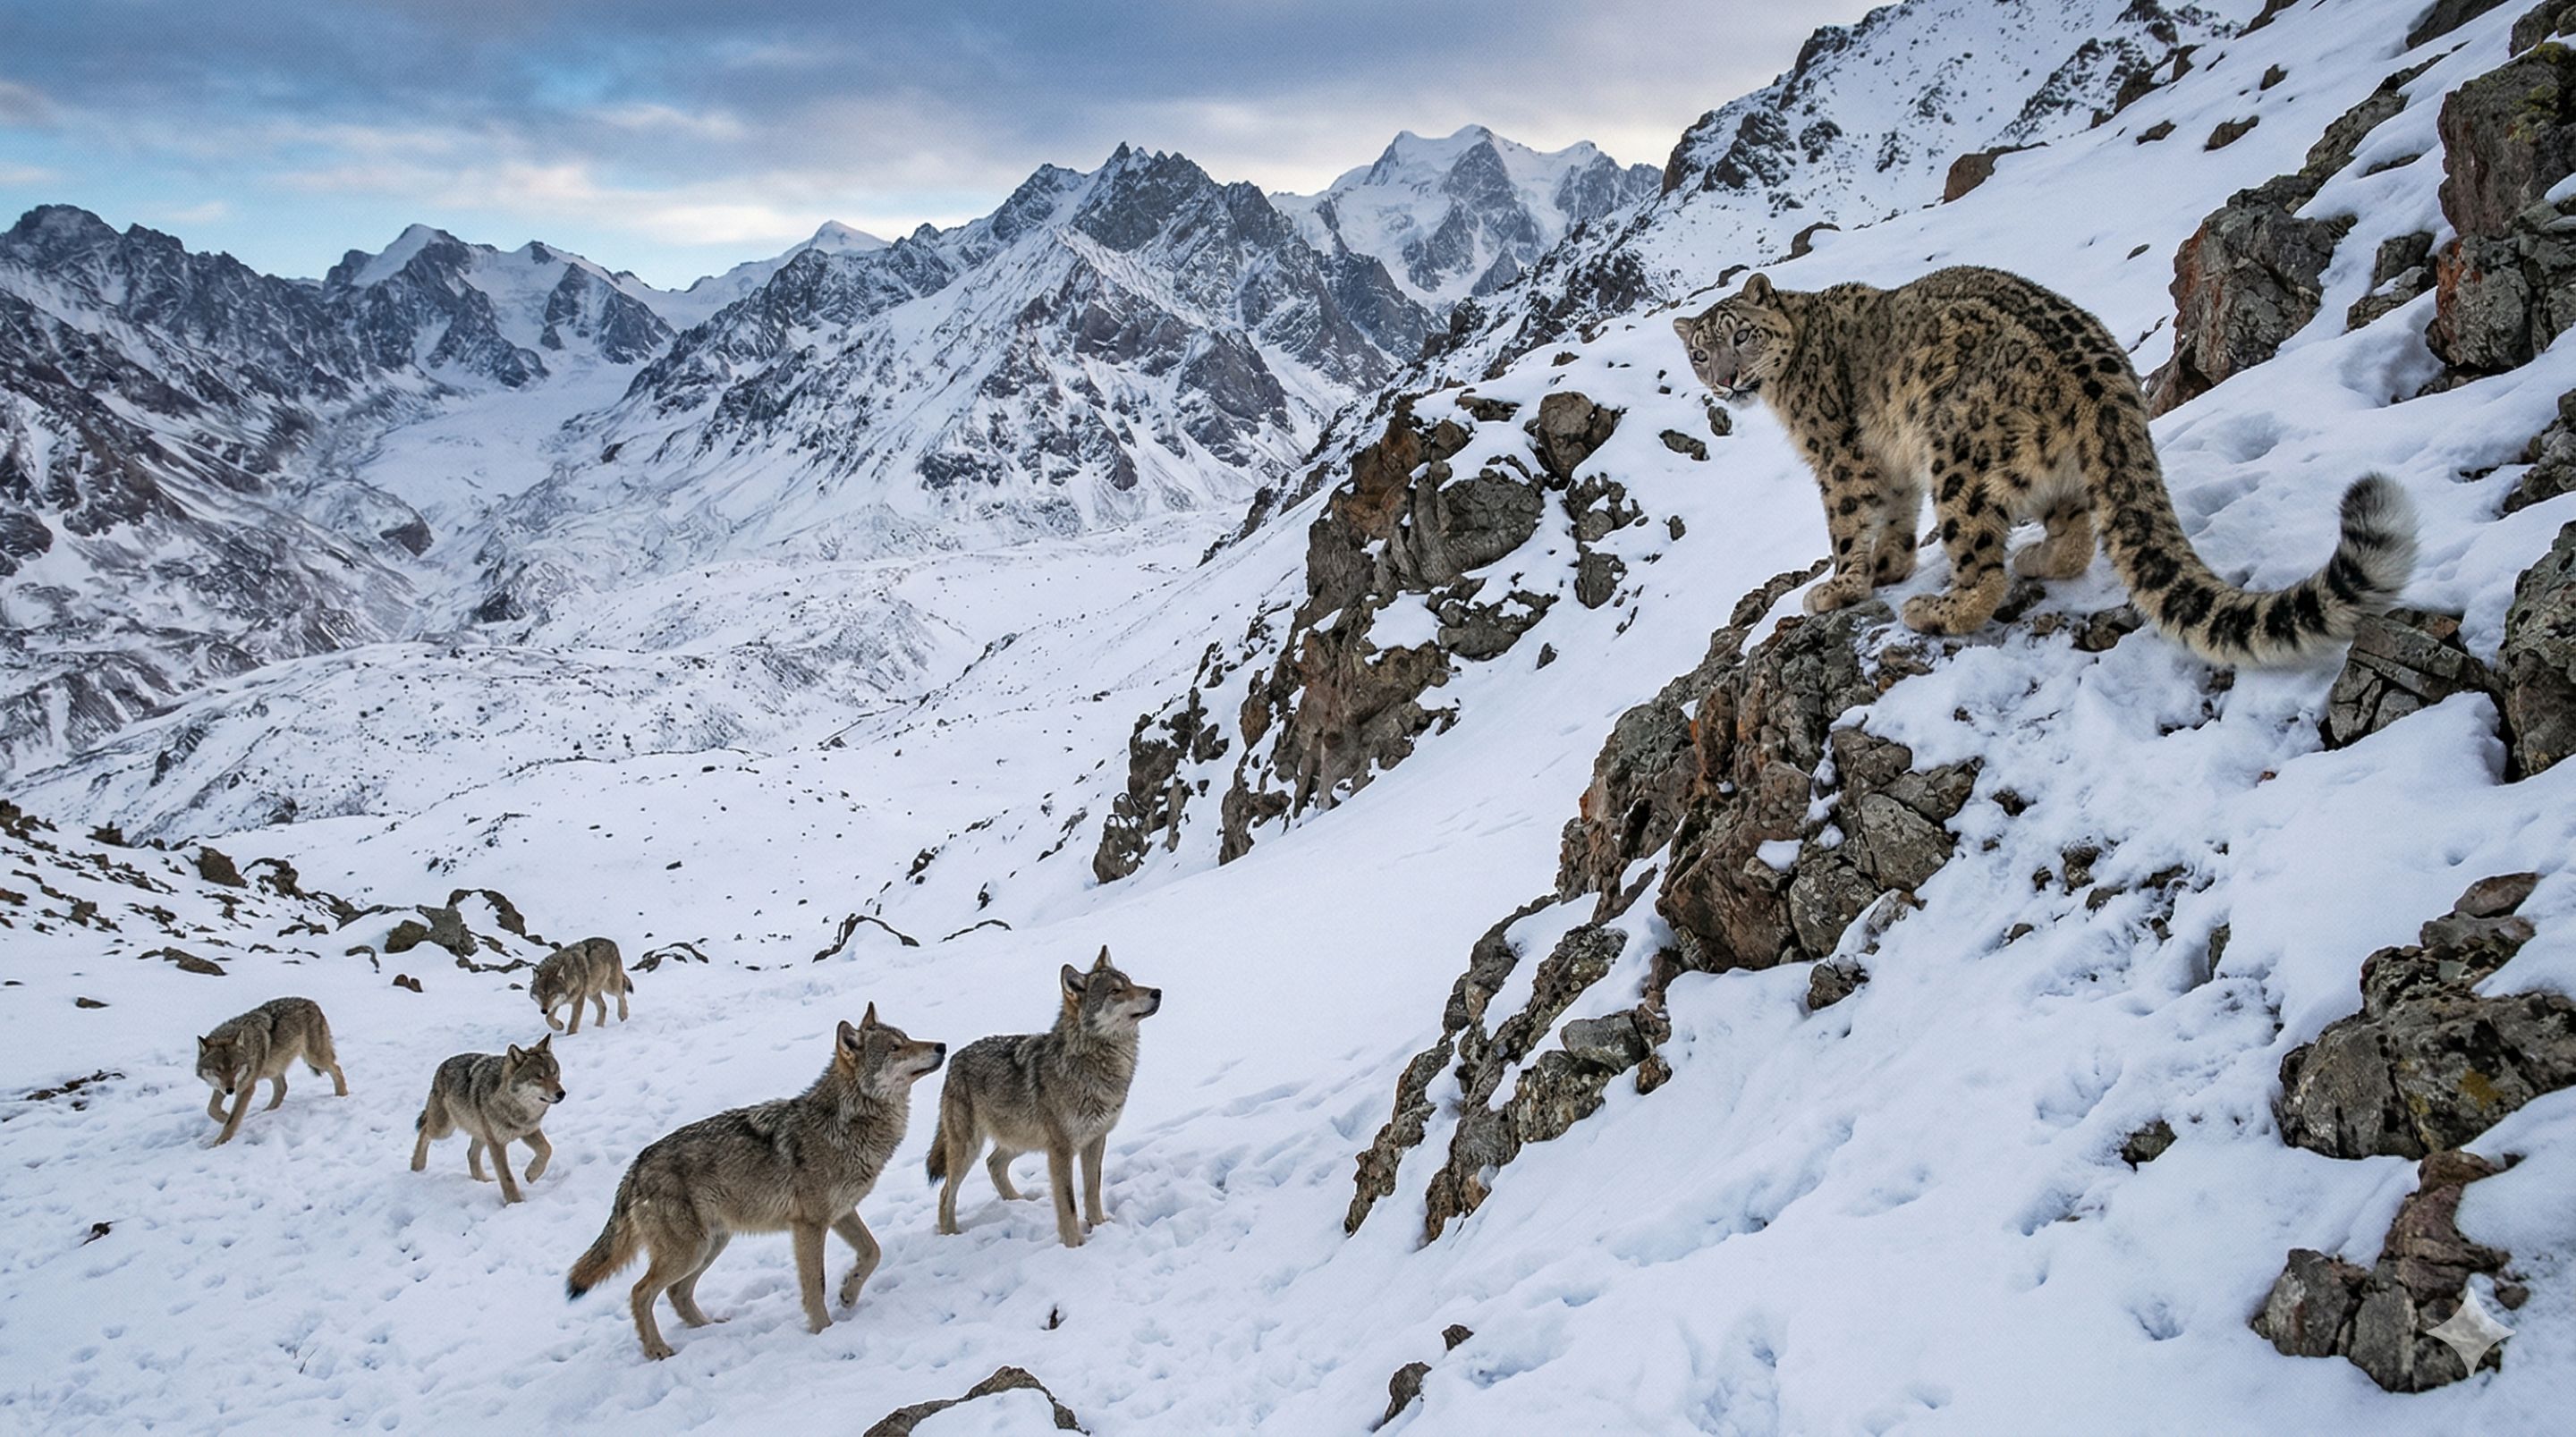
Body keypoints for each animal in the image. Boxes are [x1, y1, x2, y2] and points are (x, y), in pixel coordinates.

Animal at [195, 996, 348, 1145]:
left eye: (235, 1067)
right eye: (218, 1069)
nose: (230, 1091)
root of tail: (312, 1002)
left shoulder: (246, 1087)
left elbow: (232, 1119)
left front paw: (219, 1142)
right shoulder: (221, 1086)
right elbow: (211, 1109)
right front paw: (224, 1117)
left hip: (314, 1059)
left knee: (337, 1069)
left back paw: (341, 1096)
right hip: (274, 1068)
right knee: (283, 1088)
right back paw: (266, 1112)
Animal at [409, 1035, 567, 1205]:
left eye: (554, 1073)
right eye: (538, 1077)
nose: (562, 1093)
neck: (514, 1106)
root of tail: (442, 1066)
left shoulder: (528, 1130)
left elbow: (547, 1149)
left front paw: (531, 1174)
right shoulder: (497, 1143)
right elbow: (506, 1177)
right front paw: (515, 1202)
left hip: (480, 1133)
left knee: (470, 1153)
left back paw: (483, 1180)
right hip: (444, 1130)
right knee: (424, 1130)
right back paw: (417, 1166)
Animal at [565, 1006, 945, 1360]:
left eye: (907, 1038)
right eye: (896, 1047)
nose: (941, 1045)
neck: (846, 1123)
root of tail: (635, 1166)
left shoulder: (841, 1213)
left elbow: (872, 1252)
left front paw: (848, 1293)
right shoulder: (809, 1225)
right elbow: (814, 1283)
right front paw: (823, 1329)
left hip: (712, 1244)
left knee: (677, 1292)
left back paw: (710, 1328)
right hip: (690, 1251)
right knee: (640, 1292)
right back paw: (658, 1350)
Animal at [928, 947, 1162, 1248]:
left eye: (1131, 983)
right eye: (1115, 991)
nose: (1157, 992)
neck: (1092, 1064)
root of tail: (954, 1059)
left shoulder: (1095, 1139)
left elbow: (1092, 1191)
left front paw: (1099, 1226)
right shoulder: (1061, 1150)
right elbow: (1069, 1203)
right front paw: (1075, 1245)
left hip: (1019, 1139)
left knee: (993, 1164)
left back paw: (1018, 1203)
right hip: (968, 1148)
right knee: (947, 1192)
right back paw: (951, 1235)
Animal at [1672, 267, 2414, 664]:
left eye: (1742, 334)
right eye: (1700, 353)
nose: (1724, 380)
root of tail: (2105, 373)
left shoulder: (1839, 456)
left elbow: (1848, 523)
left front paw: (1841, 585)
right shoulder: (1892, 462)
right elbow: (1898, 515)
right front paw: (1889, 565)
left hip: (1956, 447)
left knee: (1983, 568)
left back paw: (1937, 609)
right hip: (2048, 467)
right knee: (2077, 537)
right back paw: (2035, 558)